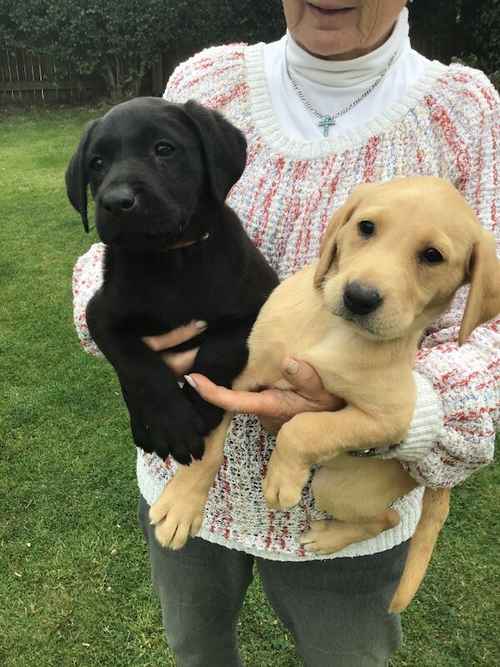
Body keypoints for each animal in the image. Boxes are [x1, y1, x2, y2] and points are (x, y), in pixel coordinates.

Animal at [66, 98, 278, 464]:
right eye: (97, 163)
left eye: (164, 149)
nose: (116, 202)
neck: (169, 259)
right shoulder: (101, 315)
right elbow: (138, 367)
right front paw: (173, 424)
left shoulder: (258, 303)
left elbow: (218, 351)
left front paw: (202, 406)